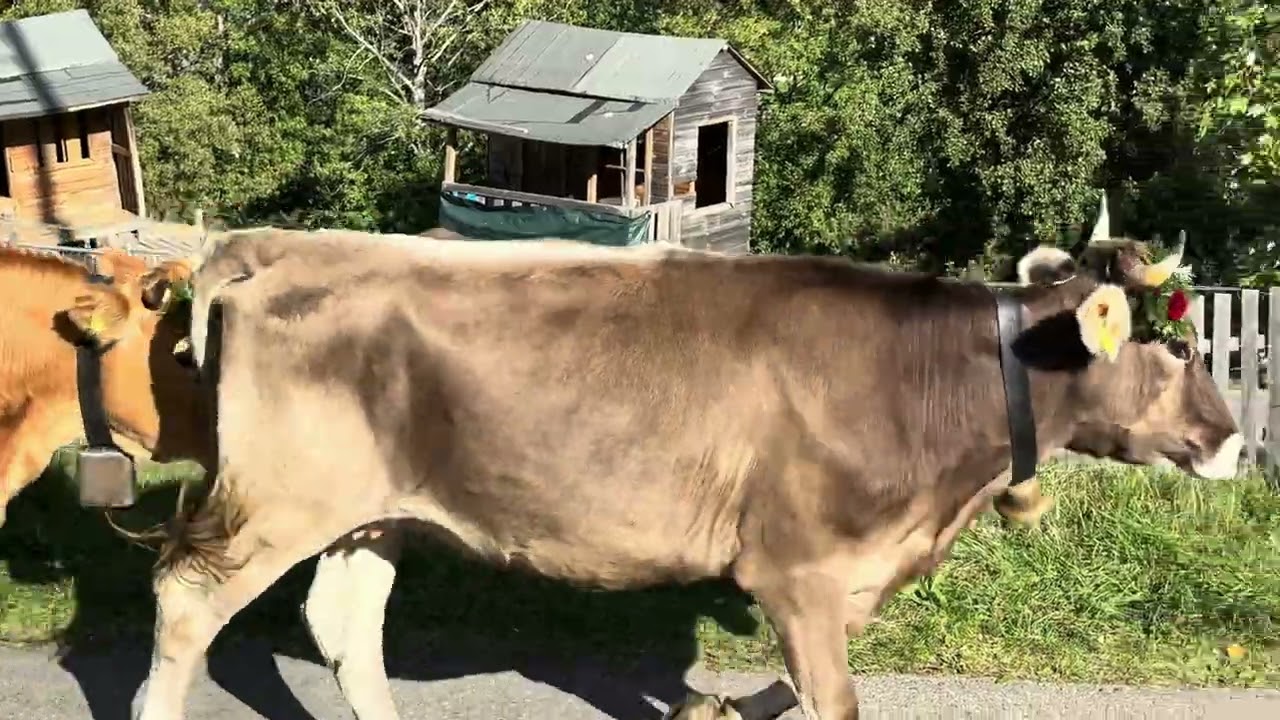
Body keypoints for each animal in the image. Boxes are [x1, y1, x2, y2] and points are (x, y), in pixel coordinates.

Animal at [66, 215, 1239, 720]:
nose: (1232, 439)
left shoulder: (833, 573)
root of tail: (275, 245)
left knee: (343, 627)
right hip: (280, 497)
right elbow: (832, 695)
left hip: (369, 510)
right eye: (1180, 347)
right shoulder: (797, 564)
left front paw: (709, 711)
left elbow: (797, 683)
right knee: (189, 601)